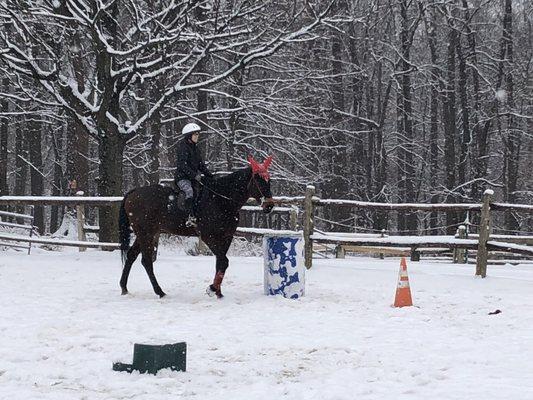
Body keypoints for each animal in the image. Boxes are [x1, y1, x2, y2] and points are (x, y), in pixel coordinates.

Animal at [117, 155, 274, 298]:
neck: (221, 200)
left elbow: (220, 262)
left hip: (146, 233)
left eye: (269, 180)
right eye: (259, 180)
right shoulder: (208, 236)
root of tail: (133, 193)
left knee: (131, 255)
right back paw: (159, 291)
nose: (269, 205)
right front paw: (212, 289)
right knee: (146, 261)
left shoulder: (226, 237)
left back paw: (124, 287)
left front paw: (218, 292)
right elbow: (224, 261)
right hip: (146, 233)